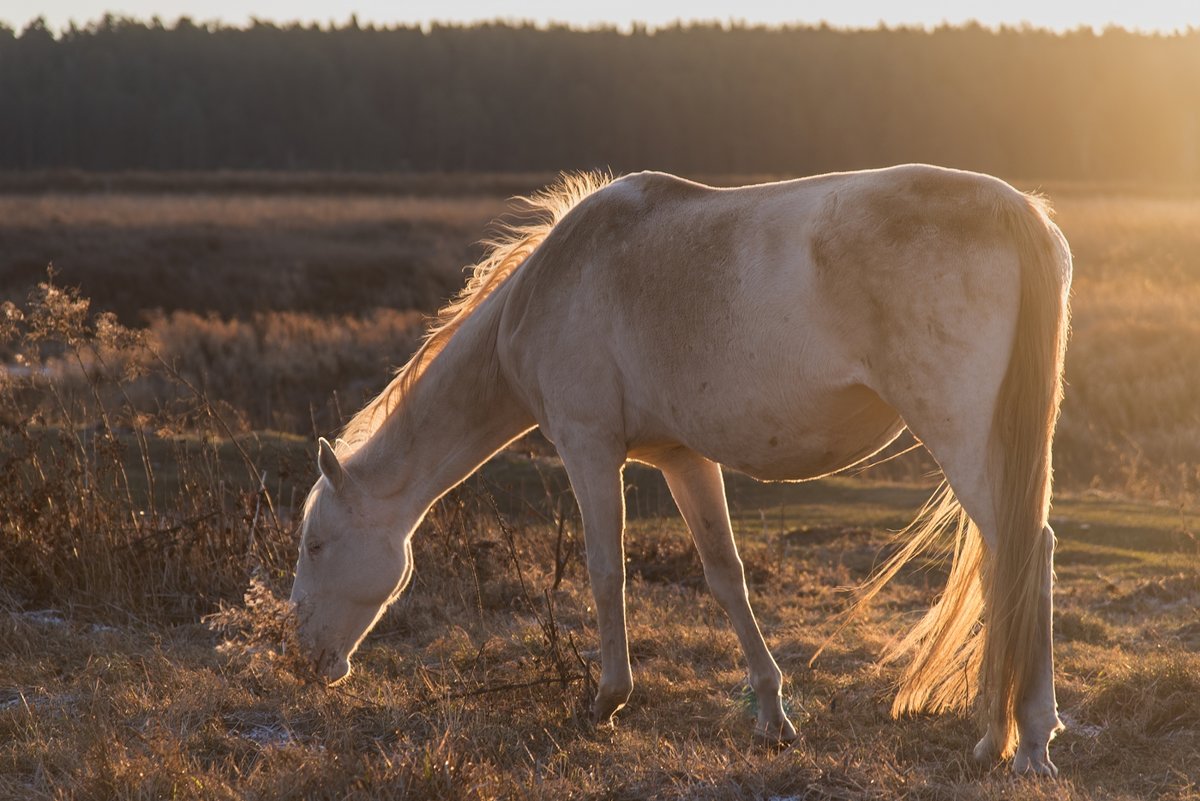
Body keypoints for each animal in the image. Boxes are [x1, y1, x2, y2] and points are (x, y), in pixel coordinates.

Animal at [288, 164, 1070, 777]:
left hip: (965, 438)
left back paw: (1019, 741)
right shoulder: (683, 457)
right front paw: (772, 715)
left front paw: (606, 701)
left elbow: (606, 571)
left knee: (1017, 551)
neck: (552, 285)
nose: (306, 659)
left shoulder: (589, 446)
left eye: (315, 544)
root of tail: (1016, 210)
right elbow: (725, 575)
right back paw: (1019, 734)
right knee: (1023, 552)